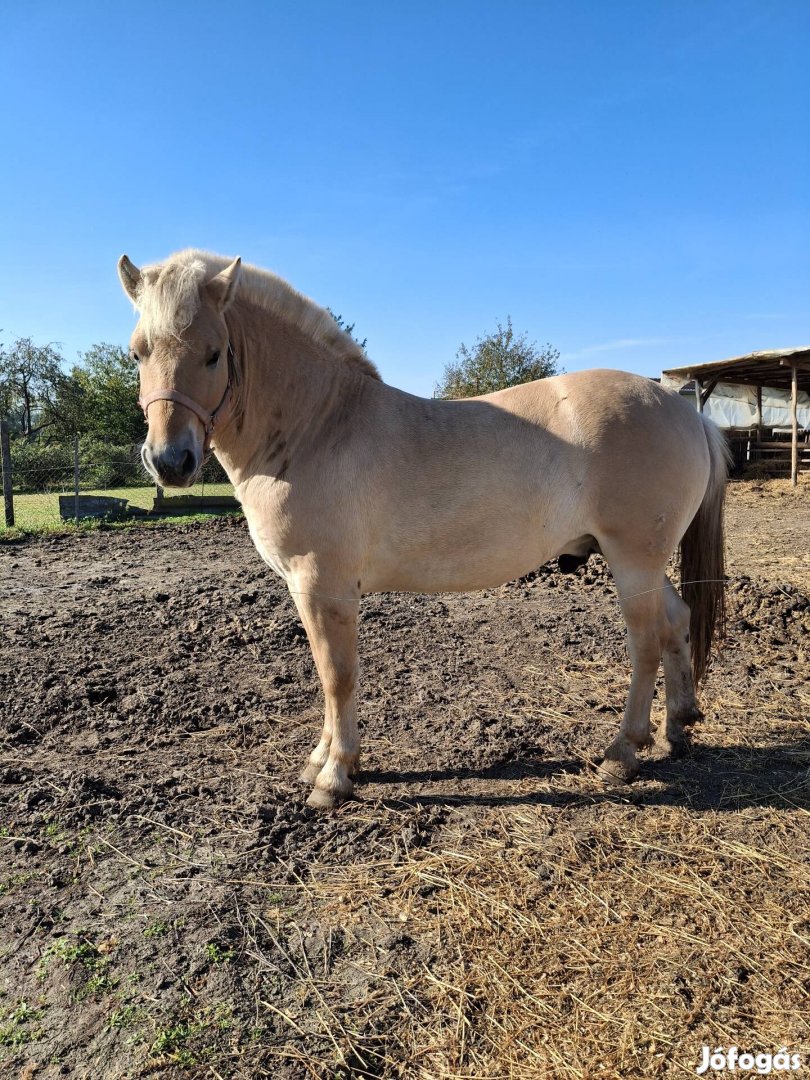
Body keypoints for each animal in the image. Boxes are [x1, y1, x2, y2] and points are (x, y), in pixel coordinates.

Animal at [117, 250, 734, 812]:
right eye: (138, 351)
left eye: (213, 353)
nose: (170, 461)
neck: (317, 426)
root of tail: (685, 411)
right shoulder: (306, 590)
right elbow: (325, 674)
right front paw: (321, 759)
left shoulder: (324, 587)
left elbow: (338, 675)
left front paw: (335, 776)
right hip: (640, 561)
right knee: (677, 623)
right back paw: (678, 728)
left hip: (633, 559)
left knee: (646, 642)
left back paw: (622, 754)